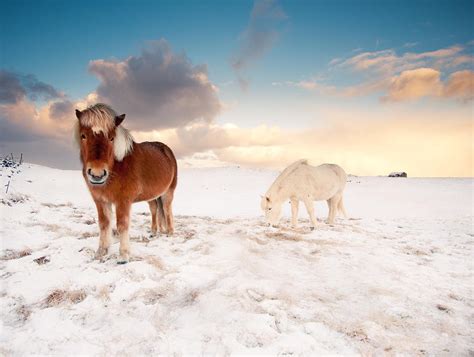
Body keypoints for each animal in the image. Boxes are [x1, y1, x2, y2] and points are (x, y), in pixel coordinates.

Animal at [74, 101, 178, 262]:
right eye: (83, 136)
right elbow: (104, 224)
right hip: (152, 196)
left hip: (168, 192)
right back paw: (154, 232)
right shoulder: (100, 201)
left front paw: (123, 256)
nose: (97, 175)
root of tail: (167, 150)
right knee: (155, 210)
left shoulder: (123, 201)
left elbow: (122, 225)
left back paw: (170, 233)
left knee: (167, 210)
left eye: (111, 138)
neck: (117, 167)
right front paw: (101, 252)